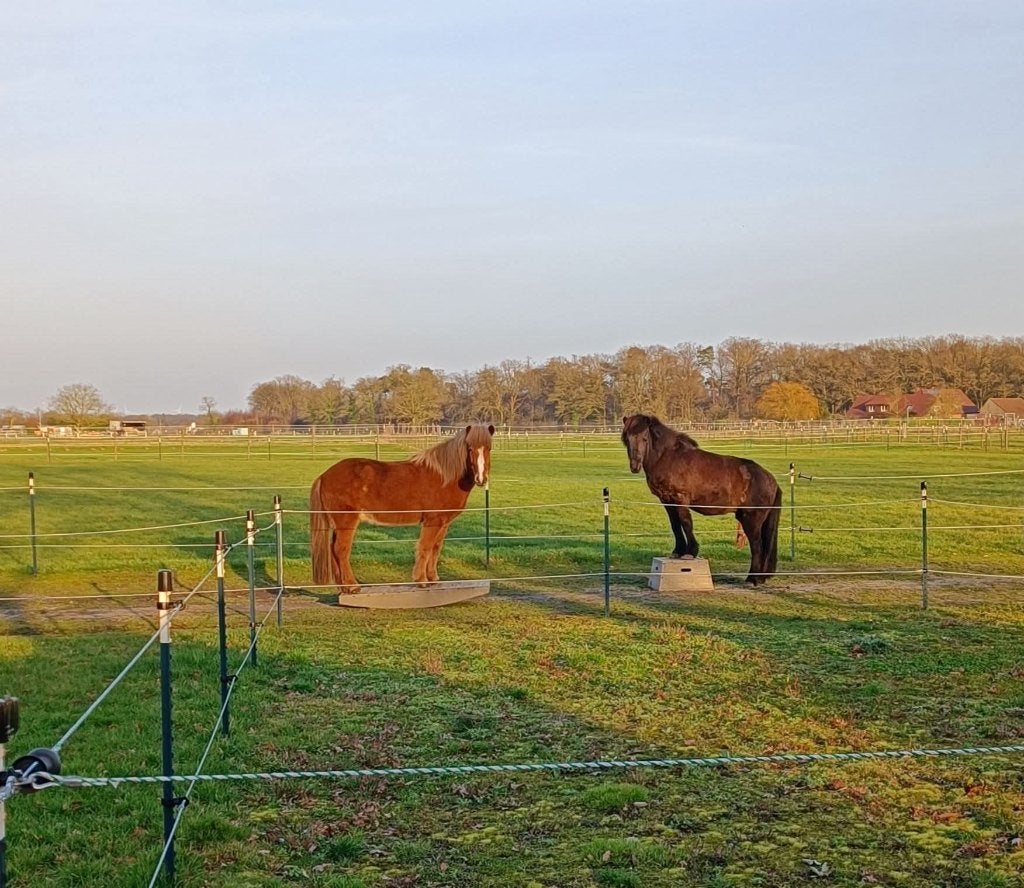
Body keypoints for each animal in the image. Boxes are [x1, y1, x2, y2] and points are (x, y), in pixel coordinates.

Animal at [310, 424, 495, 593]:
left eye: (489, 448)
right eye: (470, 449)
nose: (481, 479)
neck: (444, 477)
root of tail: (324, 476)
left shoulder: (444, 522)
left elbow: (436, 547)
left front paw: (433, 578)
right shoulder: (432, 521)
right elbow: (425, 547)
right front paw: (421, 580)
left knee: (333, 550)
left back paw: (343, 587)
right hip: (347, 521)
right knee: (341, 550)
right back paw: (352, 586)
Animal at [620, 414, 781, 585]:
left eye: (644, 438)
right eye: (627, 439)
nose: (635, 466)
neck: (668, 457)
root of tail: (771, 479)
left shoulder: (680, 499)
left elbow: (686, 523)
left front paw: (690, 552)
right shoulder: (667, 500)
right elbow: (675, 525)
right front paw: (677, 551)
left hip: (752, 519)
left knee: (757, 546)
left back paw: (752, 579)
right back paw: (759, 578)